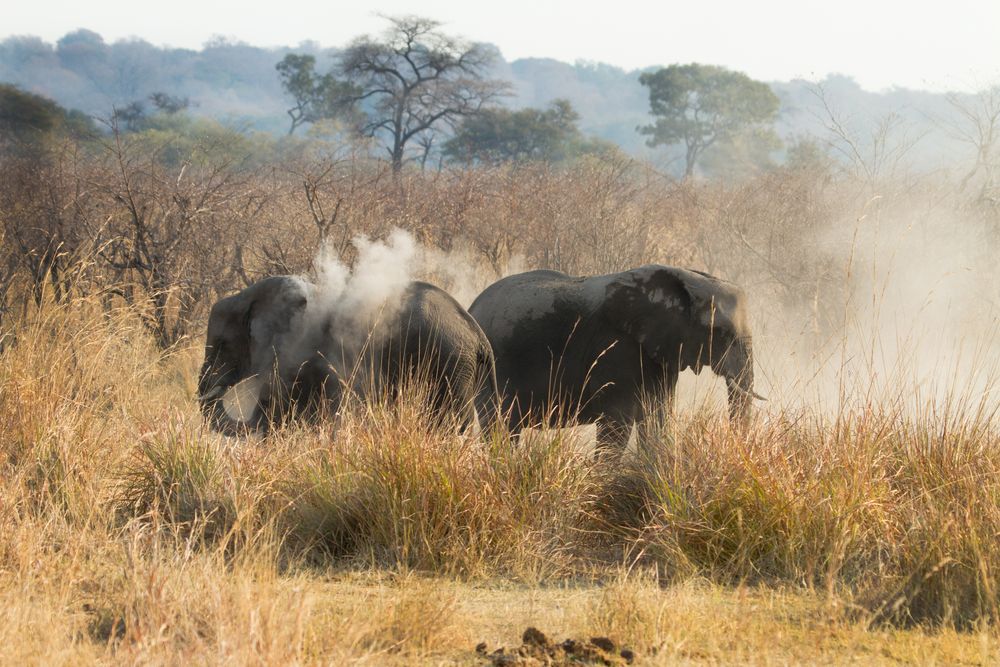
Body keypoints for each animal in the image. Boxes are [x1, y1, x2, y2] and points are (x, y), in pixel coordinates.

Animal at [466, 264, 756, 452]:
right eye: (722, 334)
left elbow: (657, 416)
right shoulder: (618, 348)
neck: (685, 277)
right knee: (499, 427)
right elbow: (618, 421)